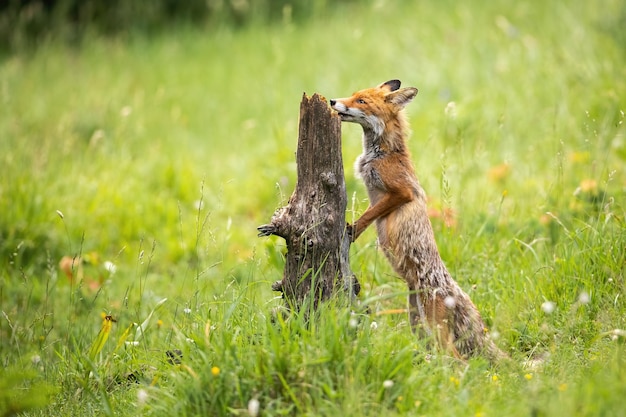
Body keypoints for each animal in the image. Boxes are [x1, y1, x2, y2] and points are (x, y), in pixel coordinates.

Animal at [330, 79, 504, 360]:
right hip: (418, 323)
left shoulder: (402, 192)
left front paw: (352, 230)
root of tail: (453, 290)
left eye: (361, 101)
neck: (382, 152)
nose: (333, 101)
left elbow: (370, 215)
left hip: (433, 327)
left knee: (457, 361)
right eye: (354, 95)